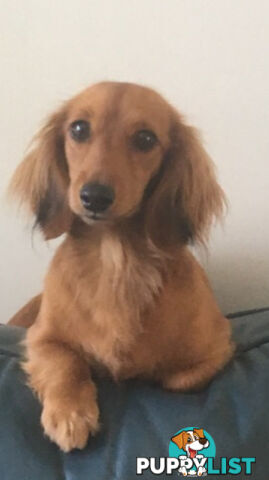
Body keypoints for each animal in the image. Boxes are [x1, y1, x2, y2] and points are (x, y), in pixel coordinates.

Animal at [8, 80, 232, 452]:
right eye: (78, 129)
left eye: (145, 139)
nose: (94, 197)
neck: (115, 261)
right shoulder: (41, 339)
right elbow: (64, 363)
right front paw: (70, 414)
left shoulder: (216, 350)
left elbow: (176, 379)